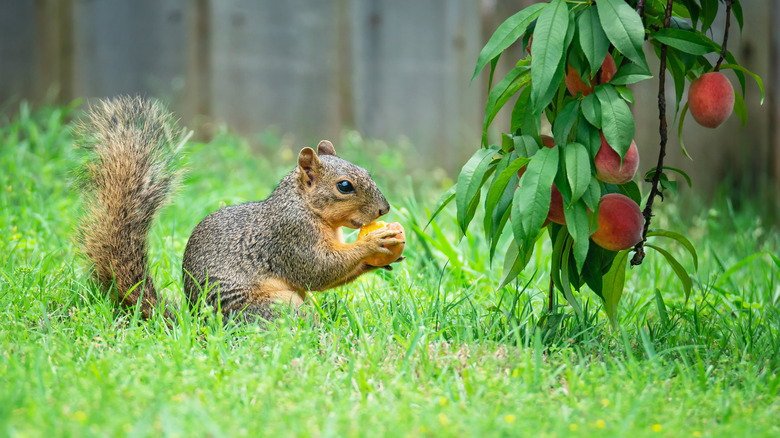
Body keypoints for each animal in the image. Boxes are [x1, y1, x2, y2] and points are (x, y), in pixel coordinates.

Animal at [77, 96, 402, 322]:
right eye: (344, 186)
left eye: (366, 171)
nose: (384, 210)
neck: (305, 206)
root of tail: (199, 325)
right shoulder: (291, 236)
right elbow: (318, 269)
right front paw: (374, 242)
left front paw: (378, 260)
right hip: (274, 307)